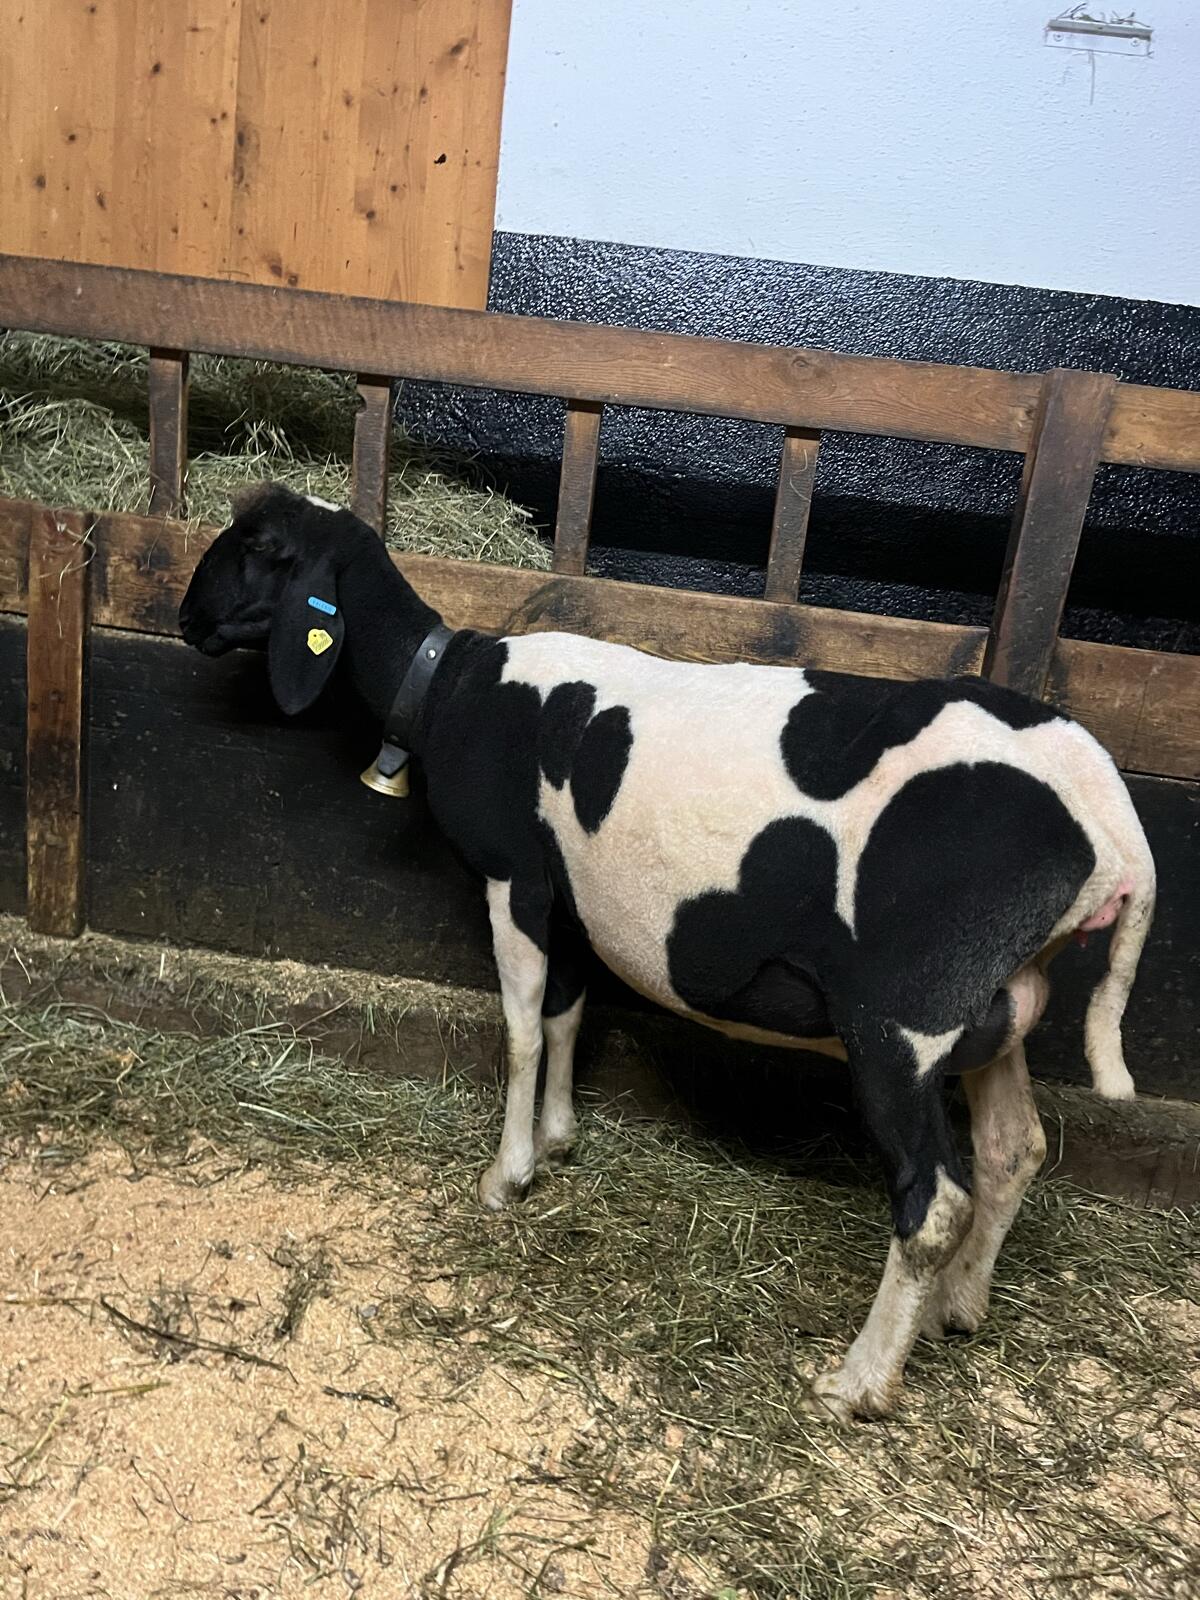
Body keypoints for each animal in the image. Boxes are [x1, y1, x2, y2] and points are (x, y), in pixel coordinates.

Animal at [179, 484, 1155, 1421]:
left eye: (261, 547)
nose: (188, 619)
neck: (452, 687)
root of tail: (1111, 821)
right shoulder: (569, 894)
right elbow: (567, 1012)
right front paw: (561, 1139)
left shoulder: (514, 876)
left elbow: (522, 1026)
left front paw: (507, 1175)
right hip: (997, 1002)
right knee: (1014, 1149)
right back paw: (960, 1307)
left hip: (903, 1017)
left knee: (935, 1200)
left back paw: (859, 1383)